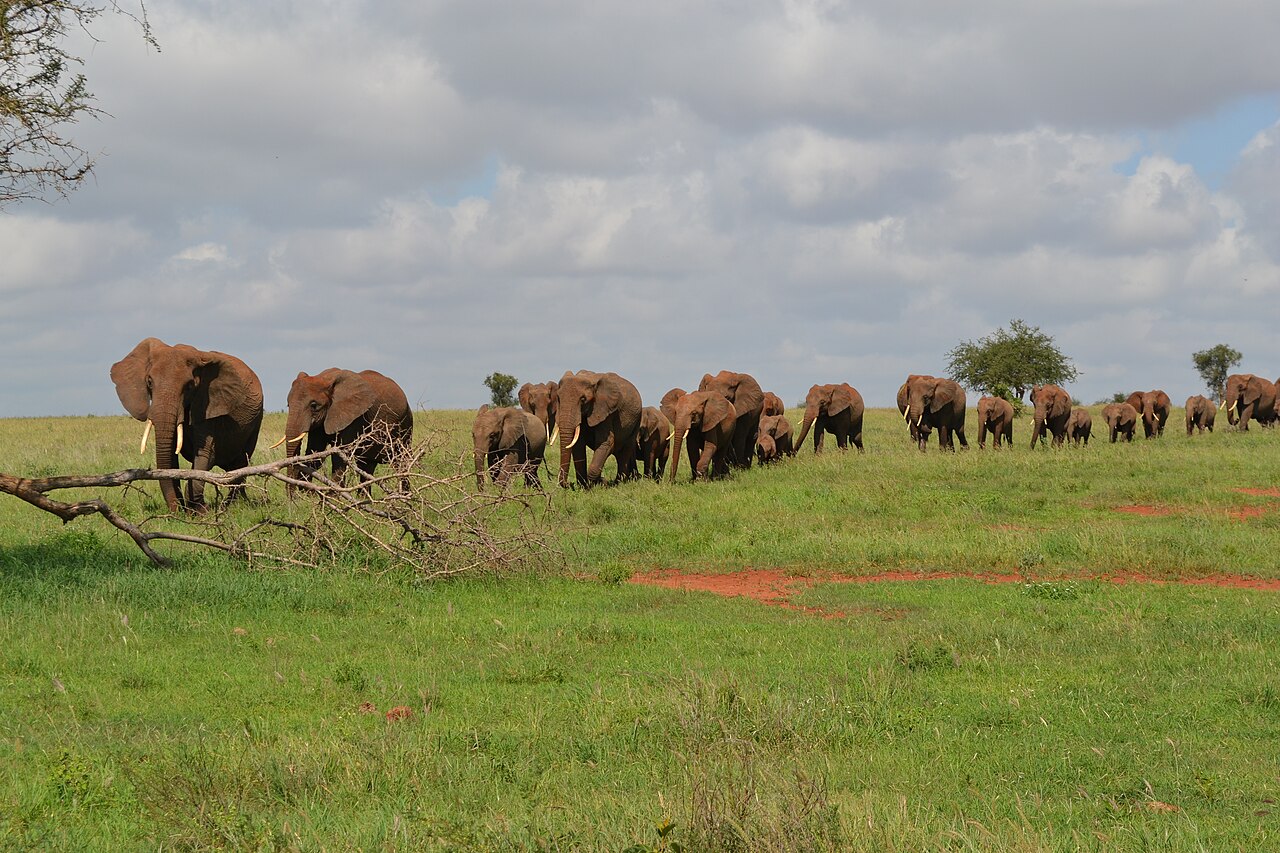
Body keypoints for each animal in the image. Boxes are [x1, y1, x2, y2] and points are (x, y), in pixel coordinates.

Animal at [112, 338, 264, 512]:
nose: (175, 511)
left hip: (256, 422)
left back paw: (229, 506)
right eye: (149, 382)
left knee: (241, 463)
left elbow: (204, 454)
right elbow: (170, 457)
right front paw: (182, 510)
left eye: (190, 386)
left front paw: (200, 511)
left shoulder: (207, 404)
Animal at [276, 366, 412, 491]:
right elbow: (314, 452)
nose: (292, 497)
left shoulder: (353, 418)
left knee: (402, 462)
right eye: (288, 404)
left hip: (406, 424)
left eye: (314, 405)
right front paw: (307, 494)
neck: (324, 378)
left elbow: (339, 457)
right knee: (366, 468)